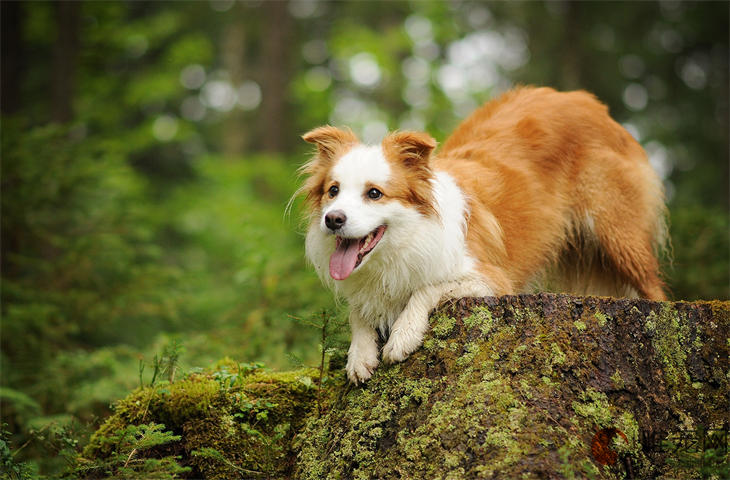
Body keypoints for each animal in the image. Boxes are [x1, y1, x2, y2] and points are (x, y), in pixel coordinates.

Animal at [298, 86, 664, 384]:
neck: (404, 242)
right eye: (333, 191)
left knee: (654, 289)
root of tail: (587, 101)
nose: (332, 220)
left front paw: (402, 335)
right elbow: (358, 311)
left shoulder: (492, 279)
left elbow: (427, 289)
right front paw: (359, 354)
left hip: (618, 233)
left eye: (374, 193)